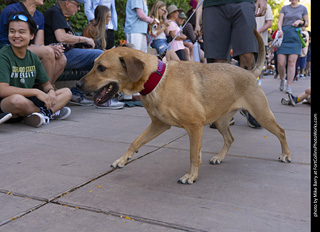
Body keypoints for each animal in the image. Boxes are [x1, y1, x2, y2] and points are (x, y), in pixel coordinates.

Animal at [77, 29, 290, 185]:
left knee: (281, 131)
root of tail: (250, 73)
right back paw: (219, 157)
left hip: (262, 115)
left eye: (101, 68)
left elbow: (193, 155)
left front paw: (191, 176)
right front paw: (123, 159)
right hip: (221, 122)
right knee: (230, 138)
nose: (78, 85)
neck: (157, 79)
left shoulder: (194, 127)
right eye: (94, 65)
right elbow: (135, 142)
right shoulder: (159, 124)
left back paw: (286, 155)